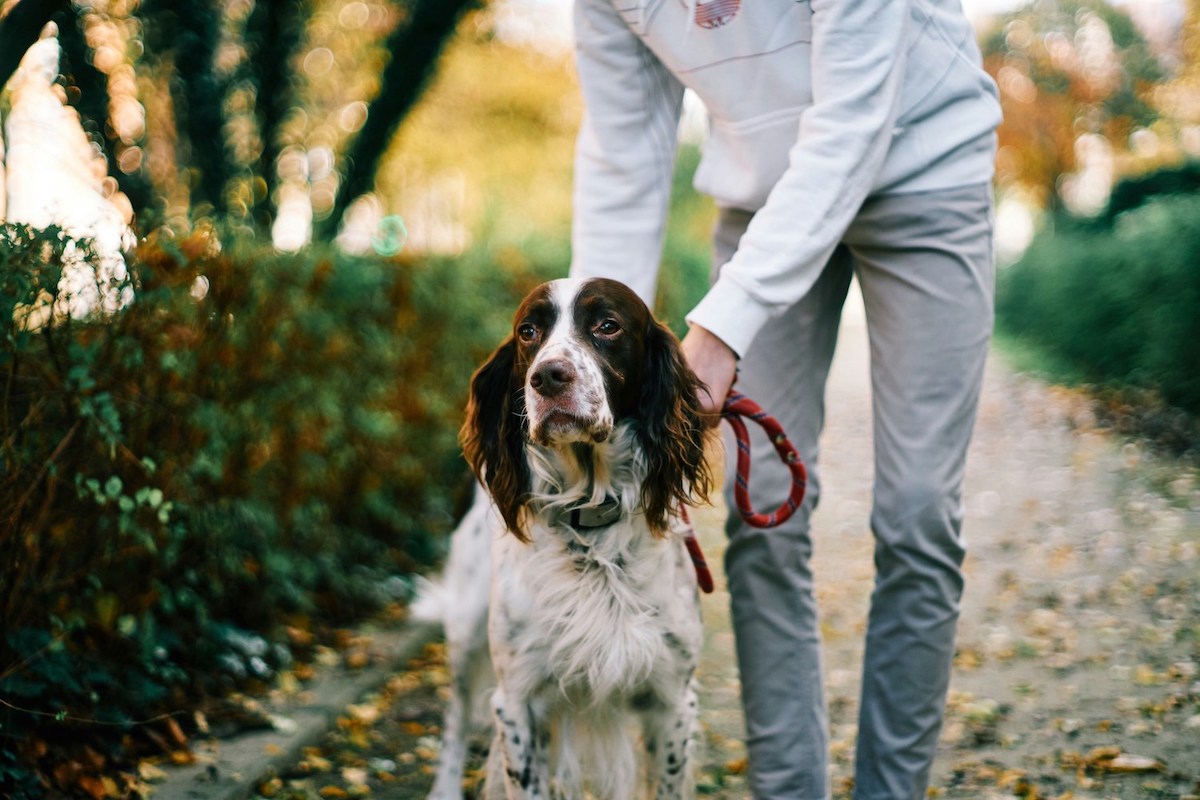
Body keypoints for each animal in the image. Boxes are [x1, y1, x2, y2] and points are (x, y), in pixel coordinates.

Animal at [412, 277, 710, 800]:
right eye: (528, 332)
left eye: (608, 325)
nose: (548, 378)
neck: (590, 517)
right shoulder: (517, 701)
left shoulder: (672, 700)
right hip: (467, 629)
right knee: (456, 717)